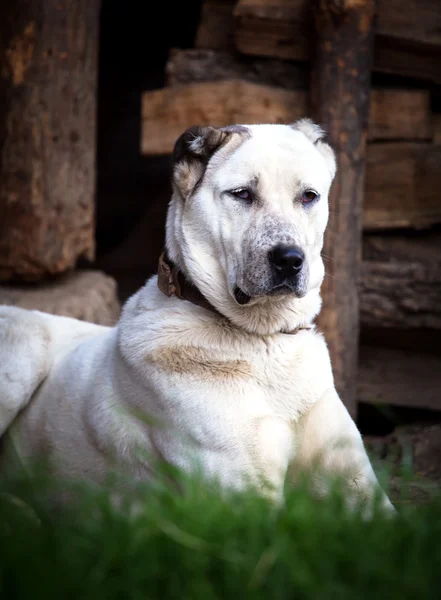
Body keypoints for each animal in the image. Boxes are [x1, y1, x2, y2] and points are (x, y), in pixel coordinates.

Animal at [0, 120, 392, 510]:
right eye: (242, 194)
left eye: (308, 196)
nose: (290, 259)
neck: (263, 343)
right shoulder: (247, 500)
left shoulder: (362, 489)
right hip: (26, 345)